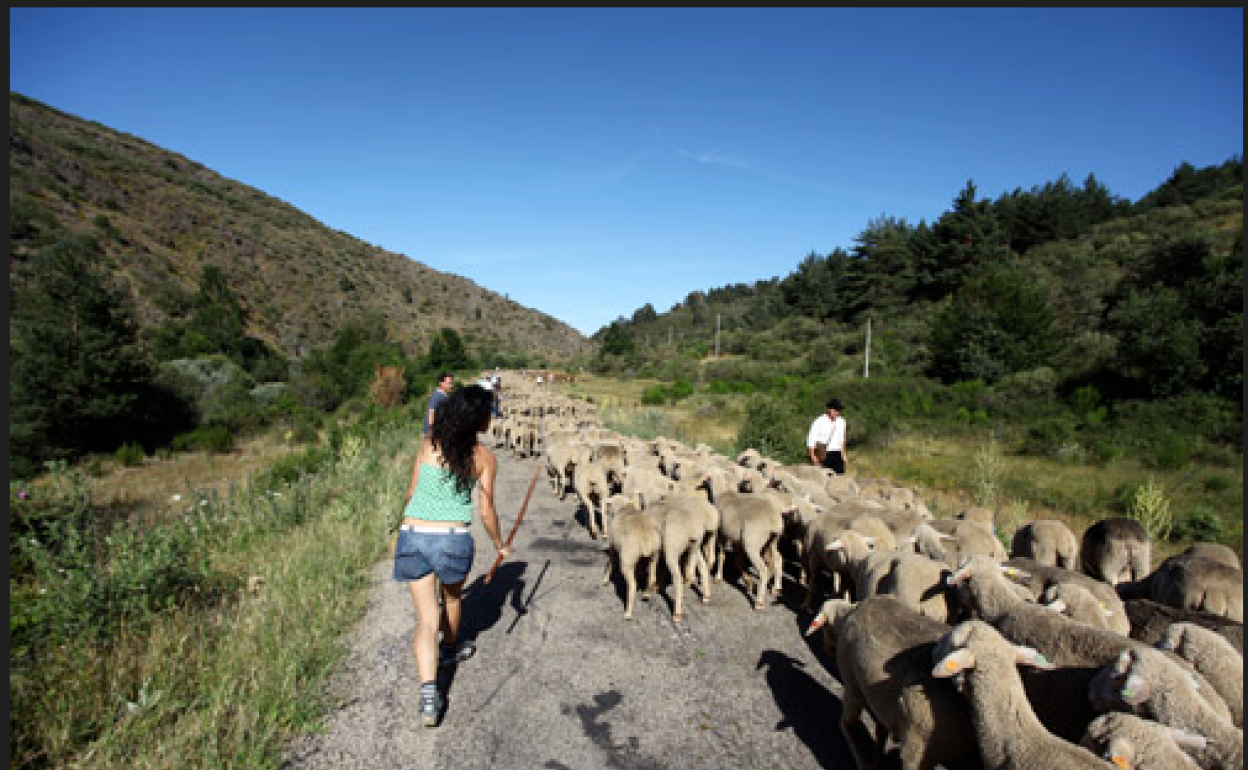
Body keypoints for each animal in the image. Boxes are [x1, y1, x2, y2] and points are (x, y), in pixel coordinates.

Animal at [828, 594, 983, 768]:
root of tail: (863, 605)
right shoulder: (917, 751)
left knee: (875, 728)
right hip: (853, 683)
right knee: (846, 724)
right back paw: (864, 761)